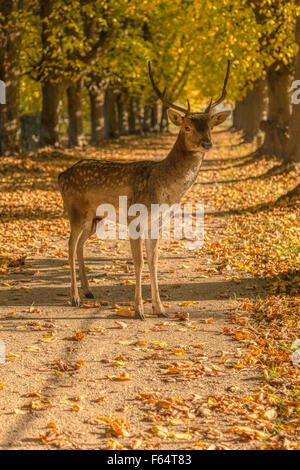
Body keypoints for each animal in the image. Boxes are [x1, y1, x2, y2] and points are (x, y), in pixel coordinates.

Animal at [59, 60, 232, 320]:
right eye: (187, 126)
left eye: (209, 126)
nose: (207, 143)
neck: (163, 190)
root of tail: (61, 176)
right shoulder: (135, 218)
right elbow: (139, 262)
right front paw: (139, 310)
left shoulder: (157, 222)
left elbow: (154, 261)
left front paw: (160, 309)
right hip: (75, 211)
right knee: (69, 246)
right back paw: (74, 297)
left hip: (95, 217)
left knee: (80, 245)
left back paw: (88, 291)